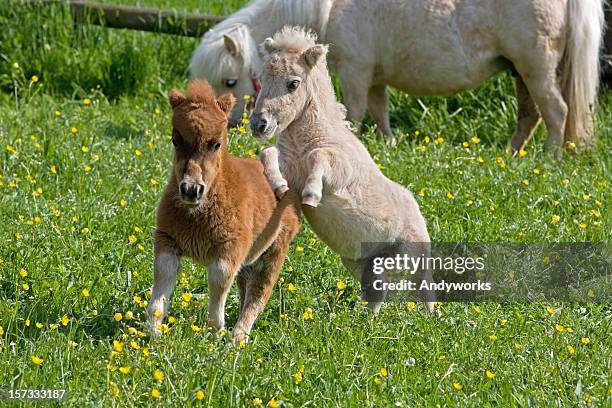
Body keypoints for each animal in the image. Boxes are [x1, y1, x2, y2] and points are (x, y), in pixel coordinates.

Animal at [192, 0, 608, 158]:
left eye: (230, 82)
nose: (228, 128)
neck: (330, 8)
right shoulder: (374, 78)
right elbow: (380, 113)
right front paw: (389, 145)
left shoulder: (356, 72)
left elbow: (355, 115)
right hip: (520, 70)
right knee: (530, 114)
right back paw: (512, 155)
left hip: (535, 67)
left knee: (556, 111)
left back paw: (551, 158)